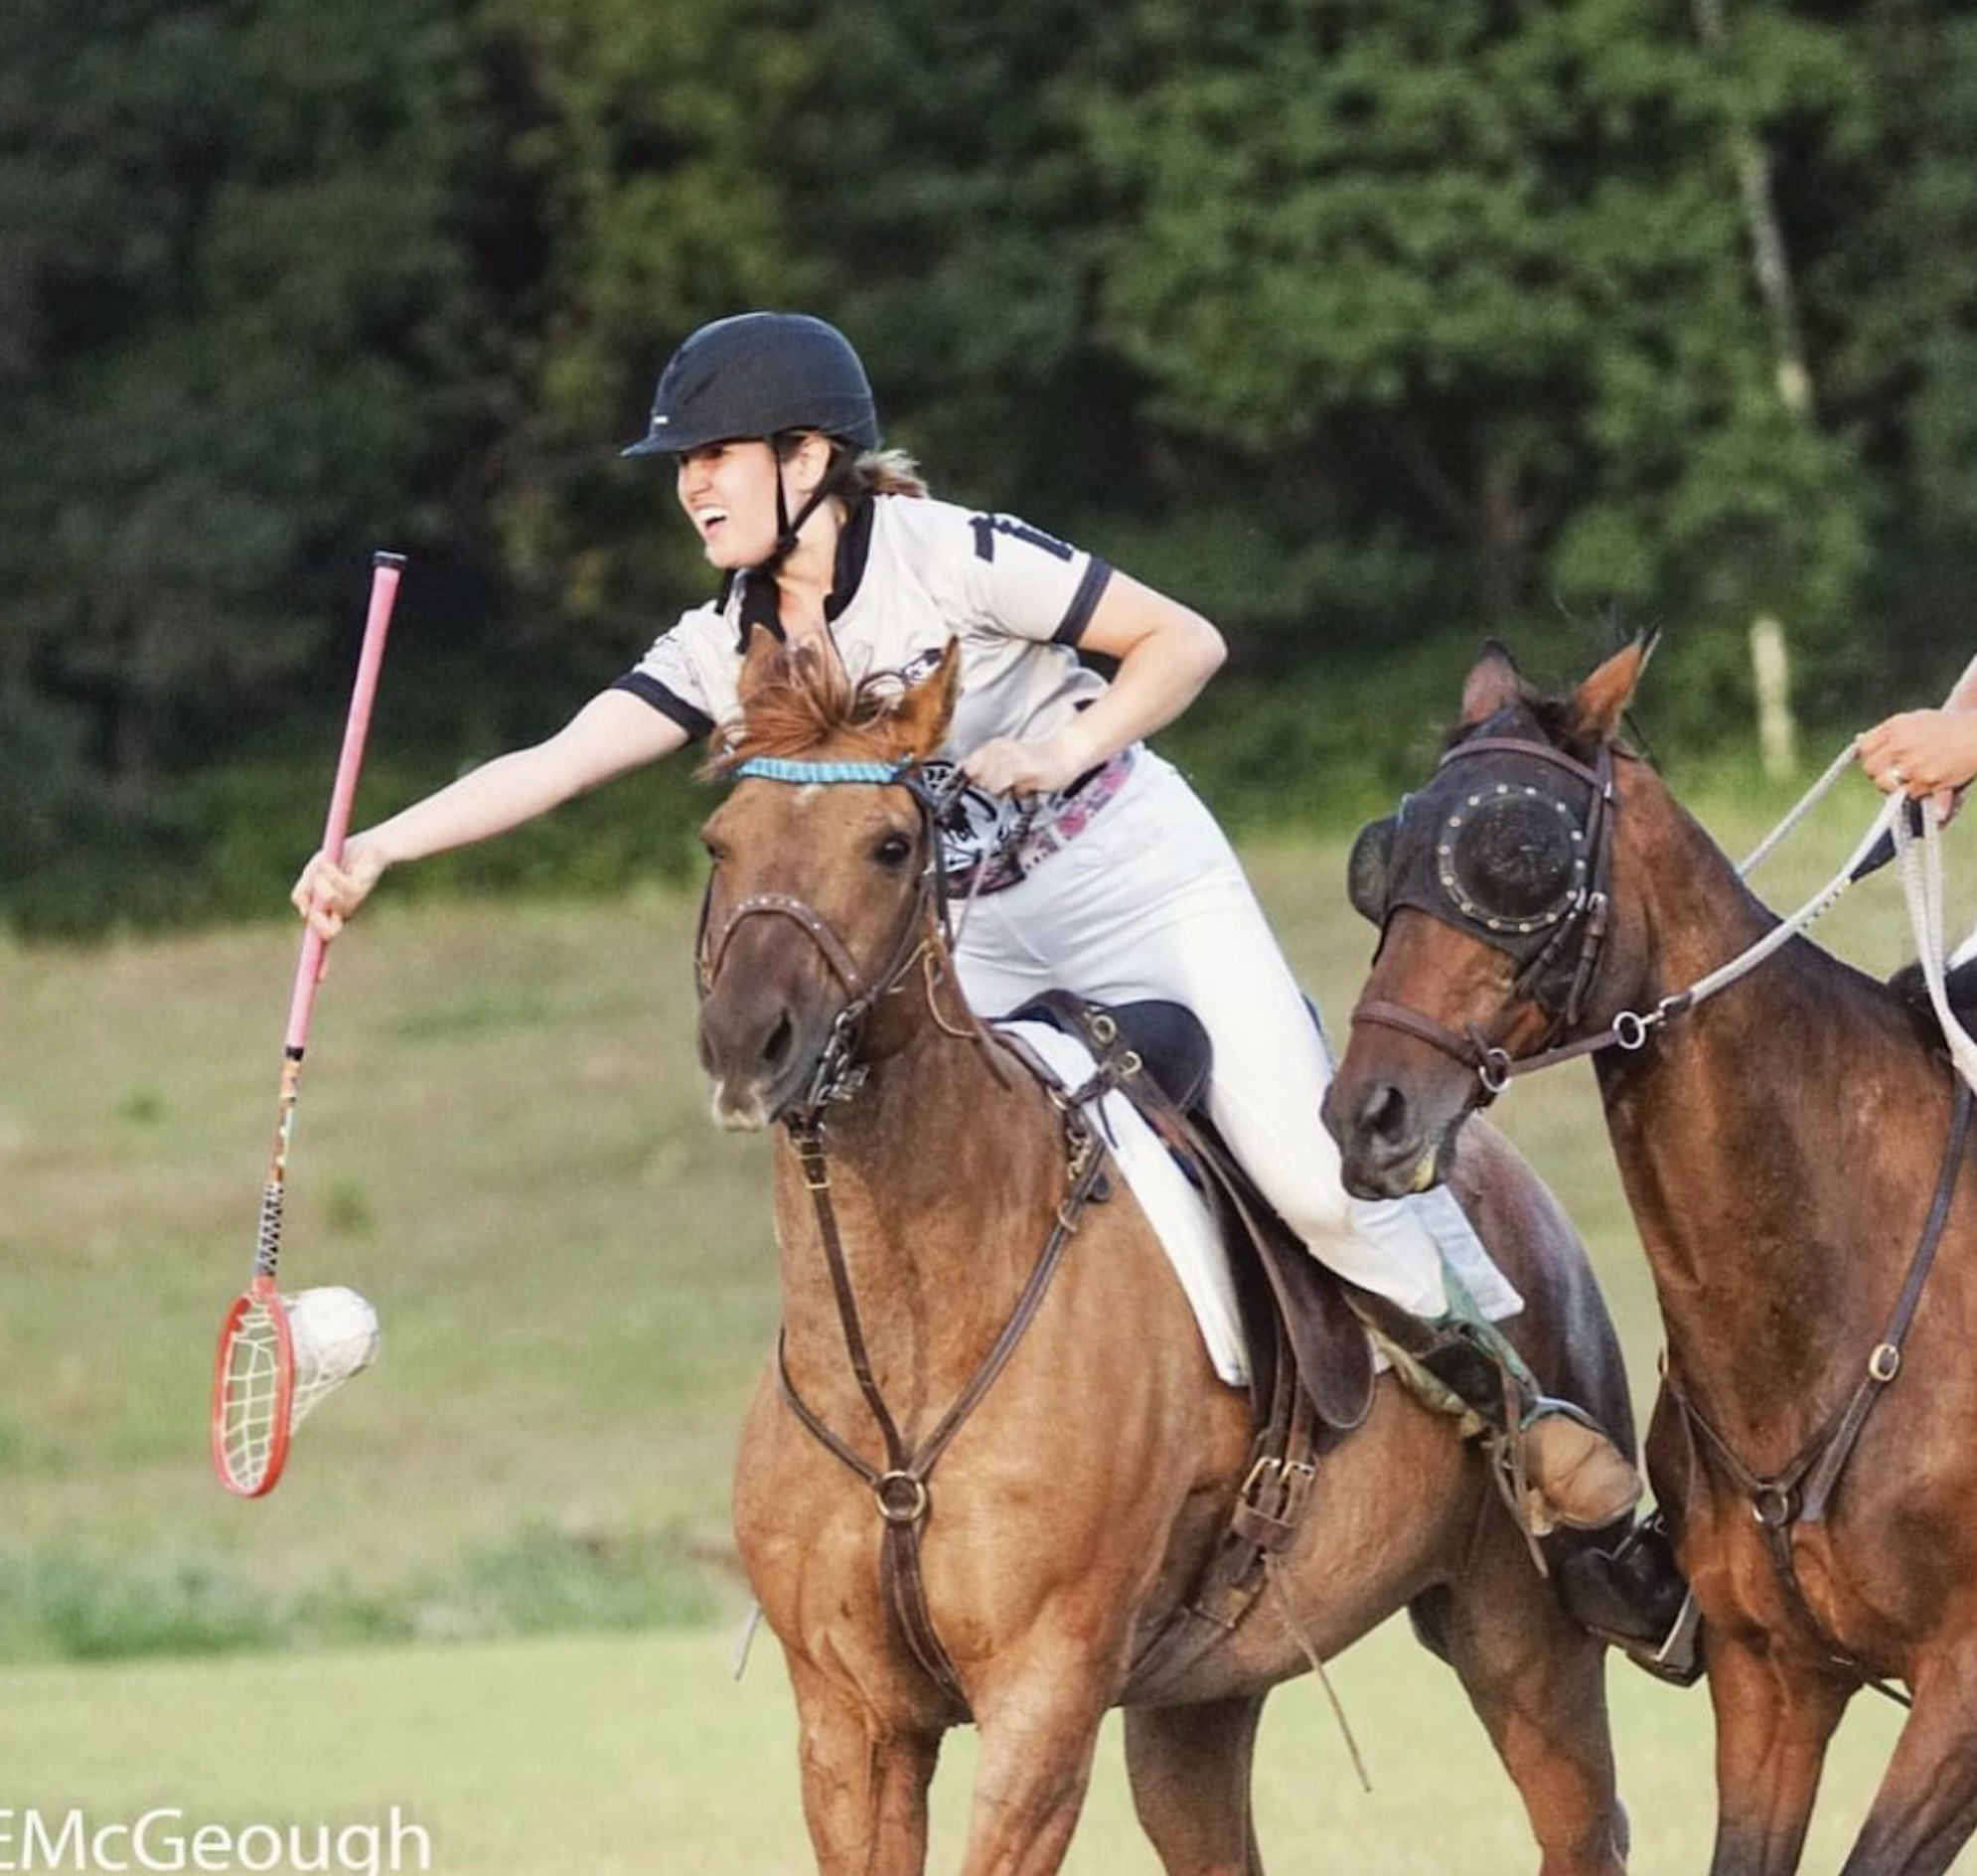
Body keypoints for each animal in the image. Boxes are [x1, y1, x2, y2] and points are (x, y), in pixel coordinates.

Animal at [695, 632, 1636, 1874]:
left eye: (890, 846)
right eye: (720, 839)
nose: (748, 1038)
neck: (901, 1346)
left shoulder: (1042, 1696)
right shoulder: (849, 1721)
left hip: (1520, 1634)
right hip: (1199, 1695)